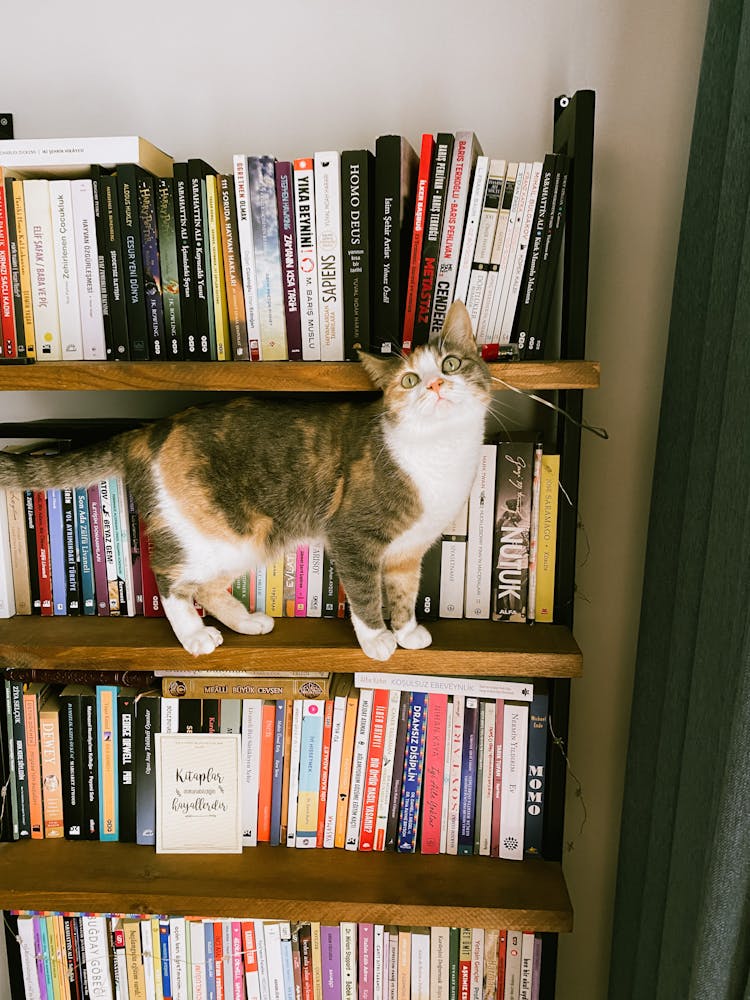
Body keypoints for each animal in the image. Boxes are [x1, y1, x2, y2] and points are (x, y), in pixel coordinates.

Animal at [0, 300, 494, 660]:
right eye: (409, 380)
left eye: (451, 364)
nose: (434, 386)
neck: (441, 452)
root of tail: (150, 430)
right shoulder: (352, 537)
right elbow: (366, 595)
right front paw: (377, 640)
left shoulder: (408, 552)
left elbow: (403, 592)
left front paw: (407, 631)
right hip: (219, 532)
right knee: (170, 578)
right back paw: (195, 636)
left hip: (249, 540)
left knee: (208, 586)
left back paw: (246, 621)